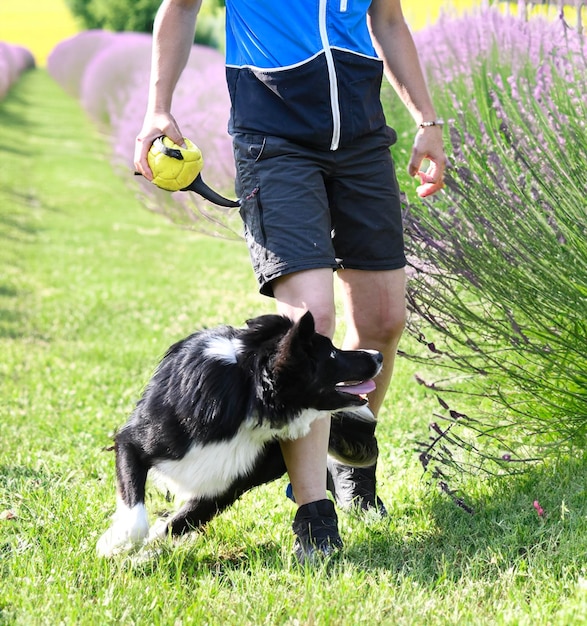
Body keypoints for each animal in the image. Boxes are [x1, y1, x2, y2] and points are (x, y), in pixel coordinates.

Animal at [96, 310, 382, 552]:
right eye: (333, 354)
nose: (378, 355)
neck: (247, 393)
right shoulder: (133, 441)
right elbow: (137, 519)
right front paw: (113, 545)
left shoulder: (228, 483)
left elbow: (178, 523)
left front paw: (141, 552)